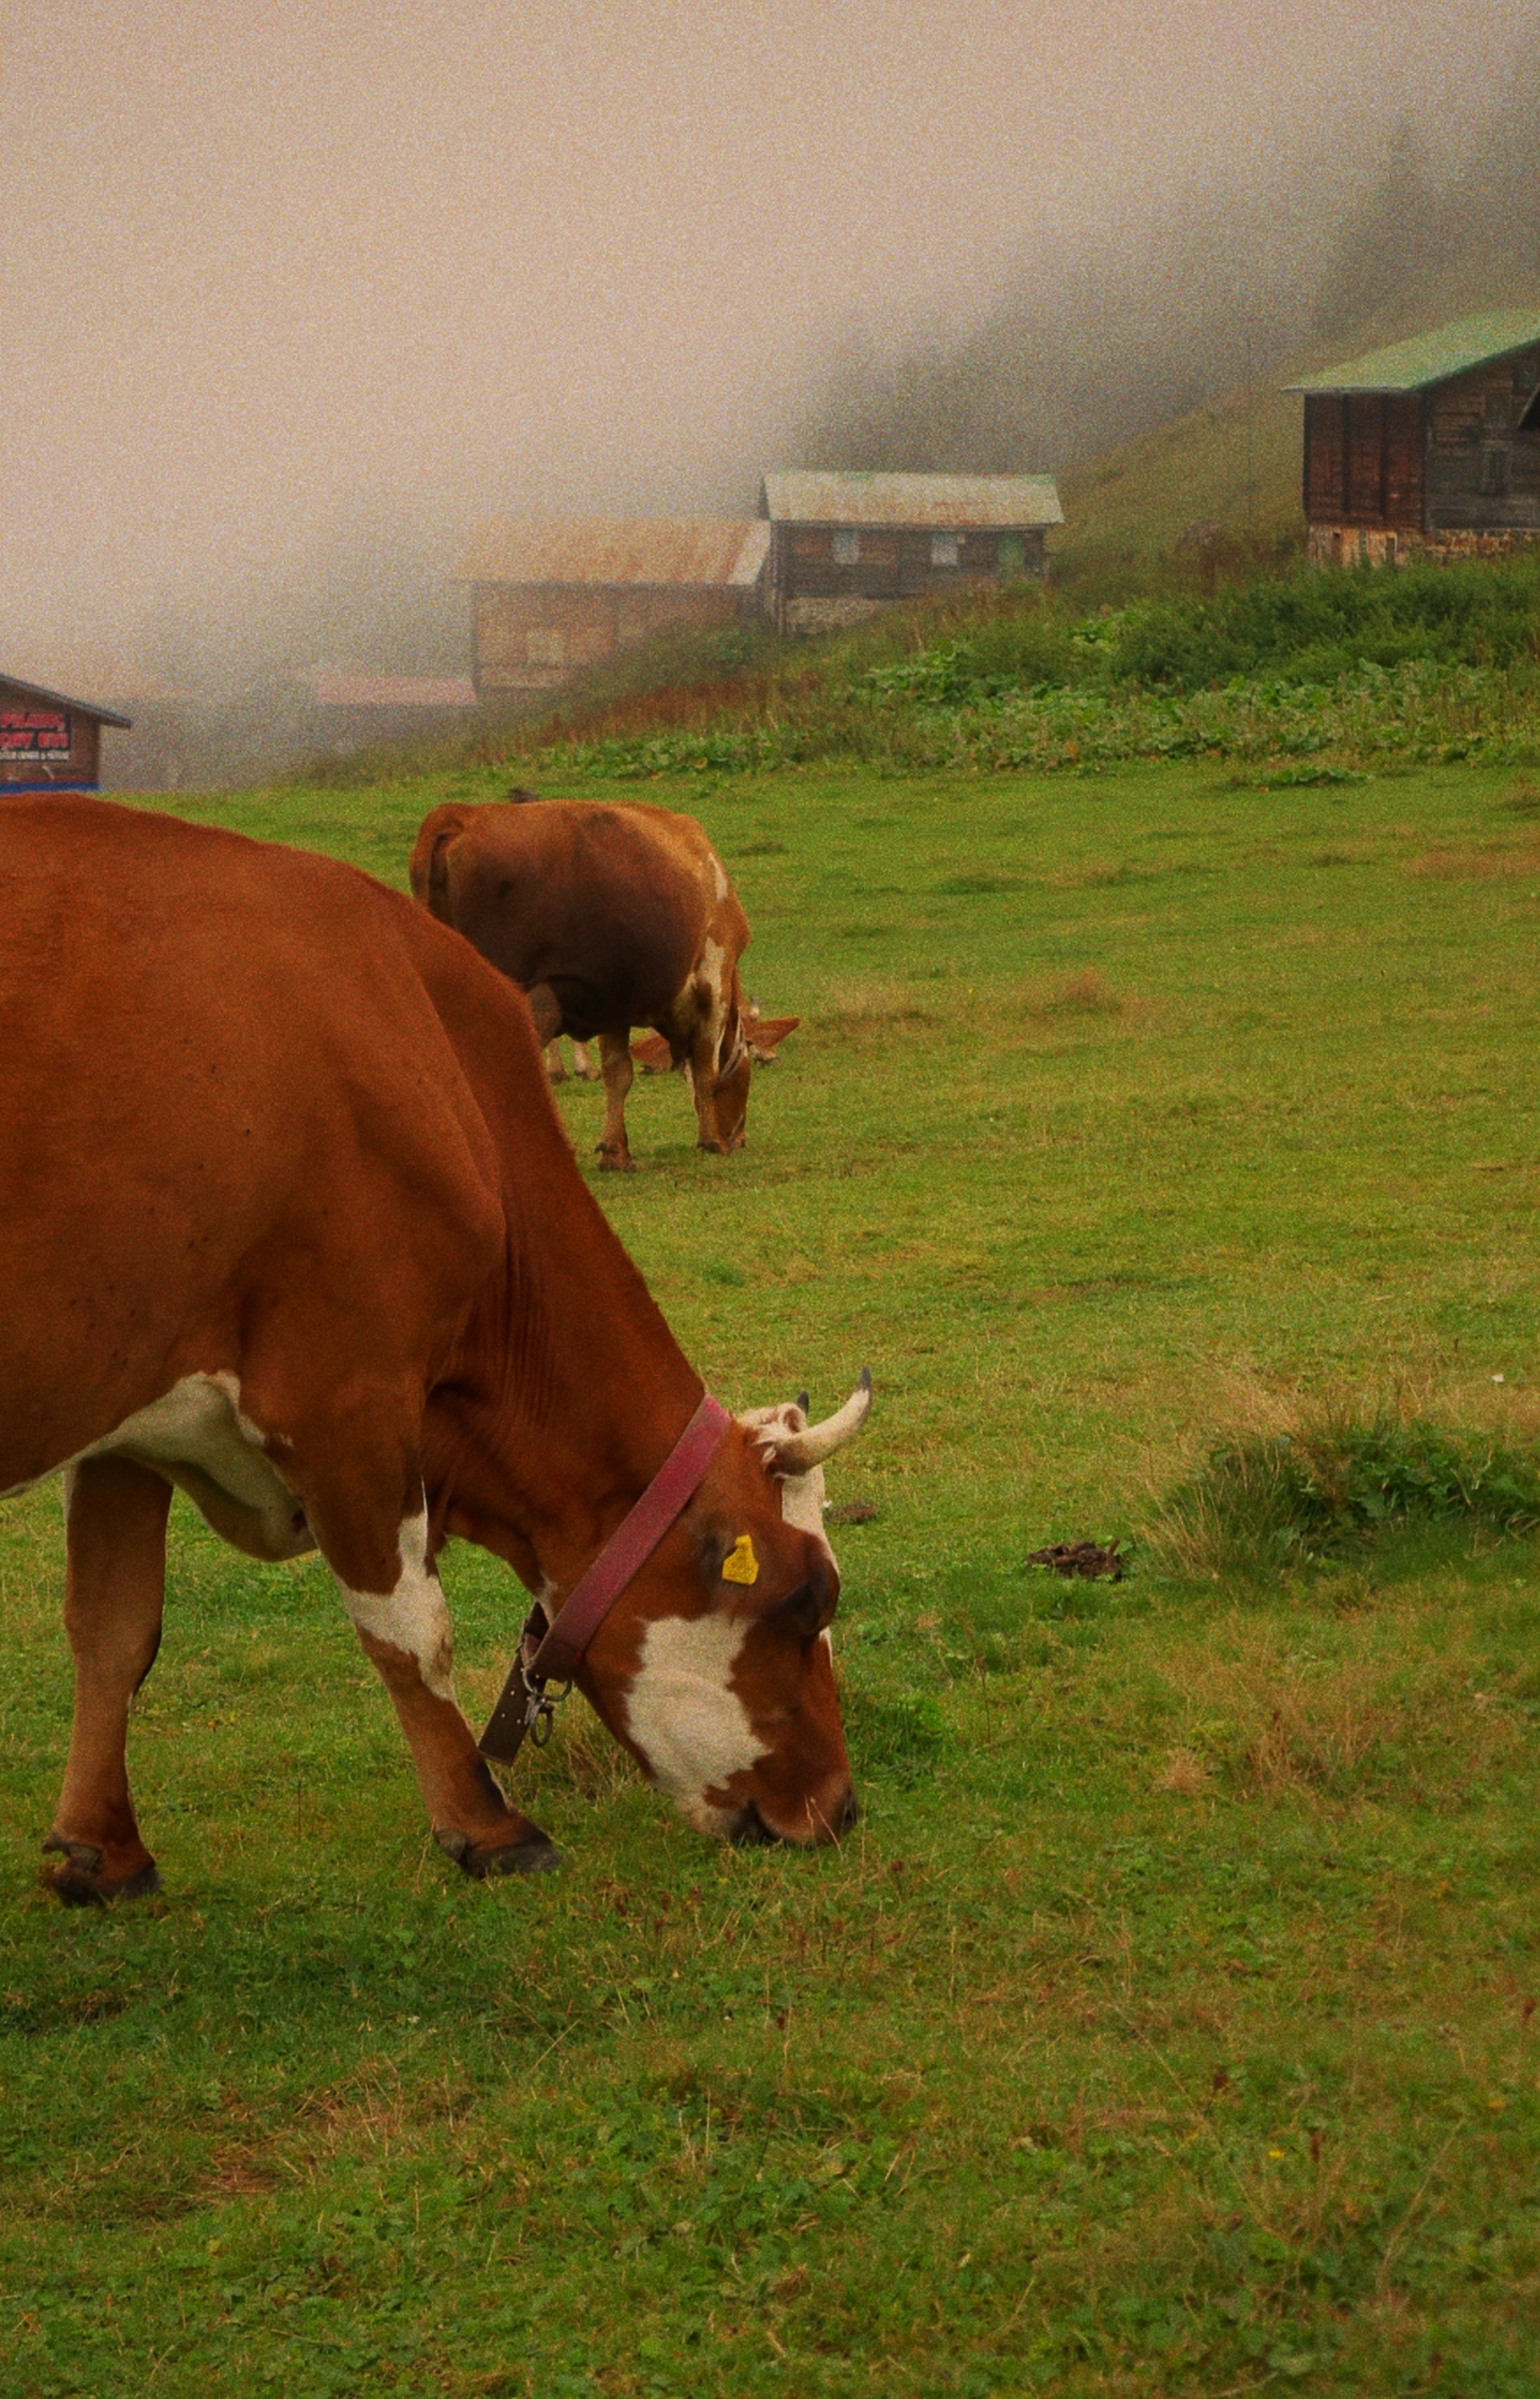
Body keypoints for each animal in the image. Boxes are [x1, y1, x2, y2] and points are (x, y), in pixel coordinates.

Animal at [409, 798, 754, 1170]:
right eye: (747, 1077)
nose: (740, 1139)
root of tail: (463, 816)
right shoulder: (713, 985)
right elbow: (705, 1069)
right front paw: (711, 1140)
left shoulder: (615, 1004)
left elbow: (618, 1074)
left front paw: (615, 1151)